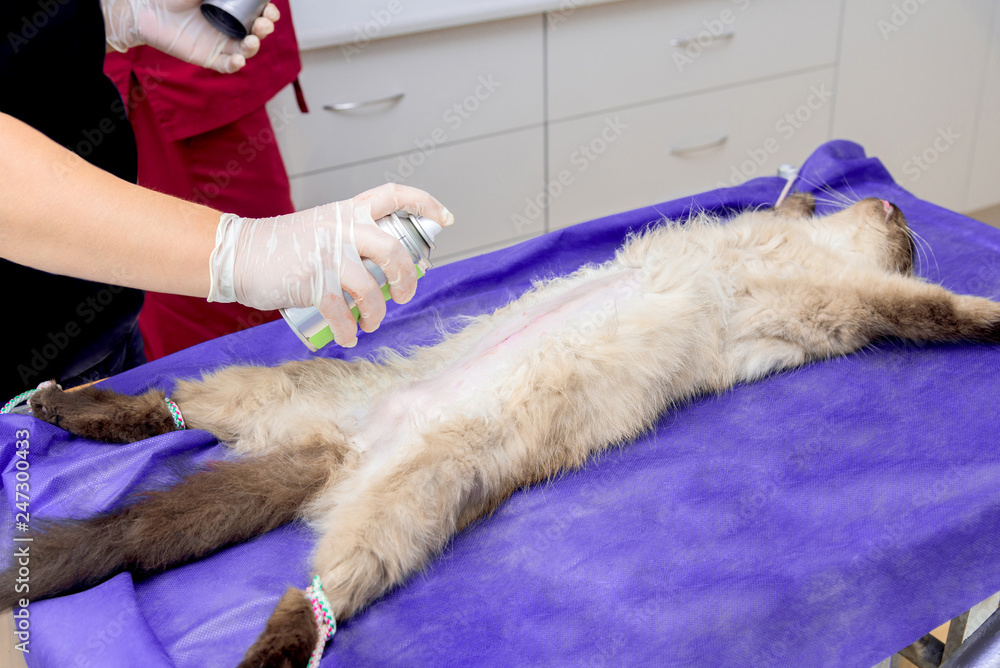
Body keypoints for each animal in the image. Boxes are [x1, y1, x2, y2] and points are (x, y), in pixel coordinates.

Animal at [1, 190, 1000, 664]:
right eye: (900, 219)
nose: (898, 206)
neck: (804, 250)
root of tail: (346, 453)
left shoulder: (842, 304)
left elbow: (935, 309)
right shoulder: (808, 268)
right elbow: (914, 289)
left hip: (402, 506)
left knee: (305, 591)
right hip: (283, 396)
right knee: (168, 414)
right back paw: (55, 404)